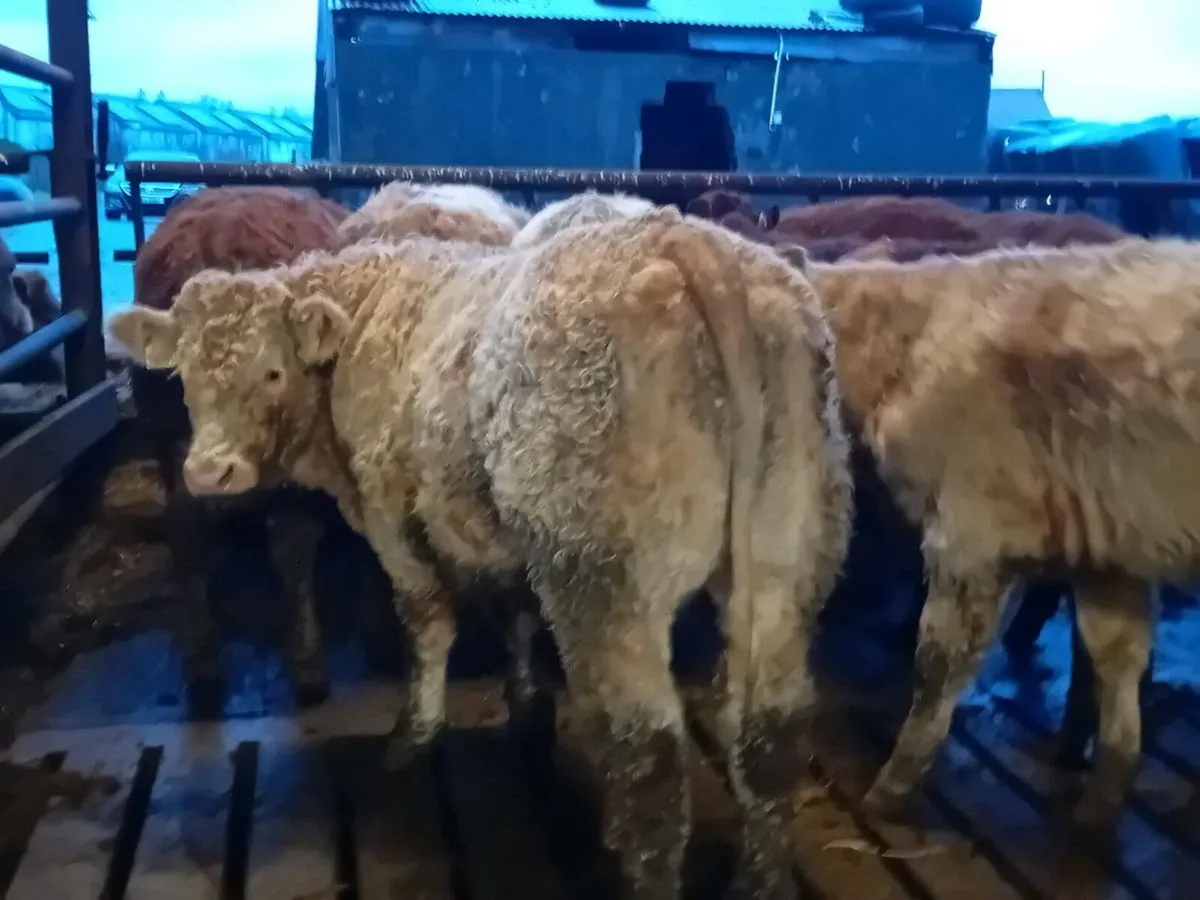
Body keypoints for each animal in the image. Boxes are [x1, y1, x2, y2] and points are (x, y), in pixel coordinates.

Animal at [118, 184, 350, 710]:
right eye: (180, 372)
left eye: (274, 373)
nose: (213, 472)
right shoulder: (175, 454)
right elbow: (189, 541)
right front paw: (203, 659)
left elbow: (293, 550)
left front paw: (308, 660)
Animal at [805, 237, 1199, 834]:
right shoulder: (1105, 553)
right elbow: (1115, 658)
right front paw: (1101, 801)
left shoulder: (969, 535)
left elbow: (937, 666)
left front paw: (890, 788)